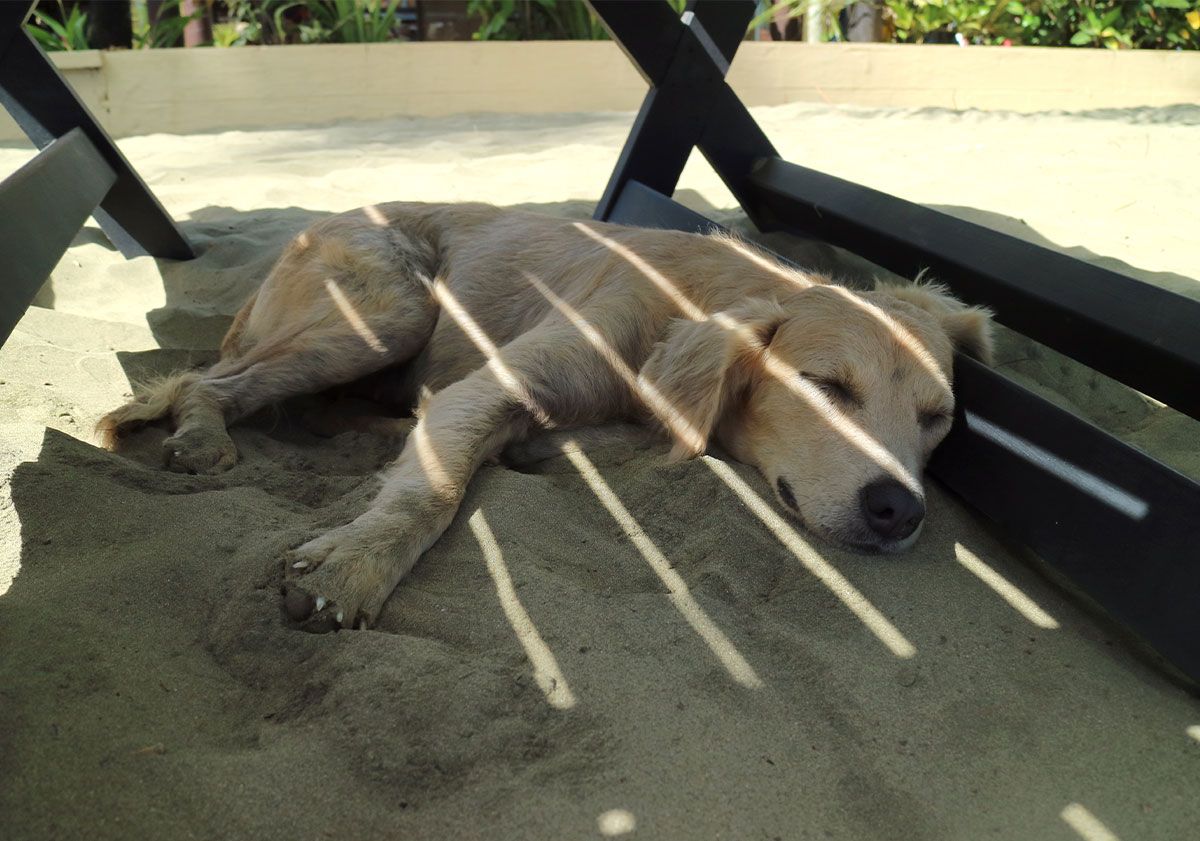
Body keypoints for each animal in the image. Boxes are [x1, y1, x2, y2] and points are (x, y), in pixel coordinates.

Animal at [98, 203, 993, 628]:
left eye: (936, 416)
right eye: (825, 385)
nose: (898, 509)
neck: (681, 297)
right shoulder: (499, 380)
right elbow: (431, 490)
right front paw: (354, 564)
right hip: (392, 308)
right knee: (211, 381)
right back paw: (202, 431)